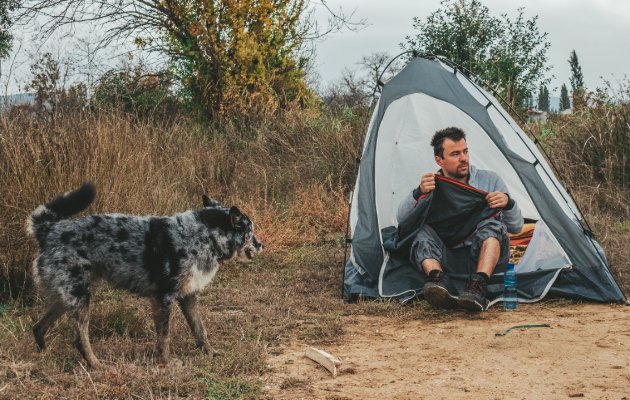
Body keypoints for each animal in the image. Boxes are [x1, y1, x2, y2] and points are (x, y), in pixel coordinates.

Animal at [26, 183, 264, 368]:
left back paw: (45, 354)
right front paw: (166, 363)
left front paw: (211, 353)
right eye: (250, 230)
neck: (204, 235)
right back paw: (97, 365)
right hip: (80, 300)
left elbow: (200, 331)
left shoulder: (189, 296)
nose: (262, 245)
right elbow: (164, 337)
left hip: (66, 299)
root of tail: (47, 229)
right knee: (79, 340)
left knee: (38, 328)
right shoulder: (163, 298)